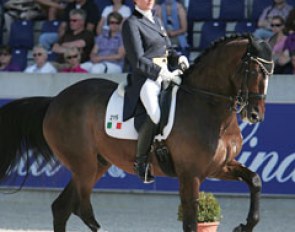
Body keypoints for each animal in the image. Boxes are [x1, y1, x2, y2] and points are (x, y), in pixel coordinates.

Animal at [0, 35, 276, 232]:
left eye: (270, 74)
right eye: (254, 71)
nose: (255, 115)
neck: (208, 106)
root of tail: (54, 101)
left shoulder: (219, 166)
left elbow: (255, 180)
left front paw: (245, 225)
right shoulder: (190, 175)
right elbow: (190, 220)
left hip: (96, 164)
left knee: (62, 208)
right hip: (84, 165)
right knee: (81, 209)